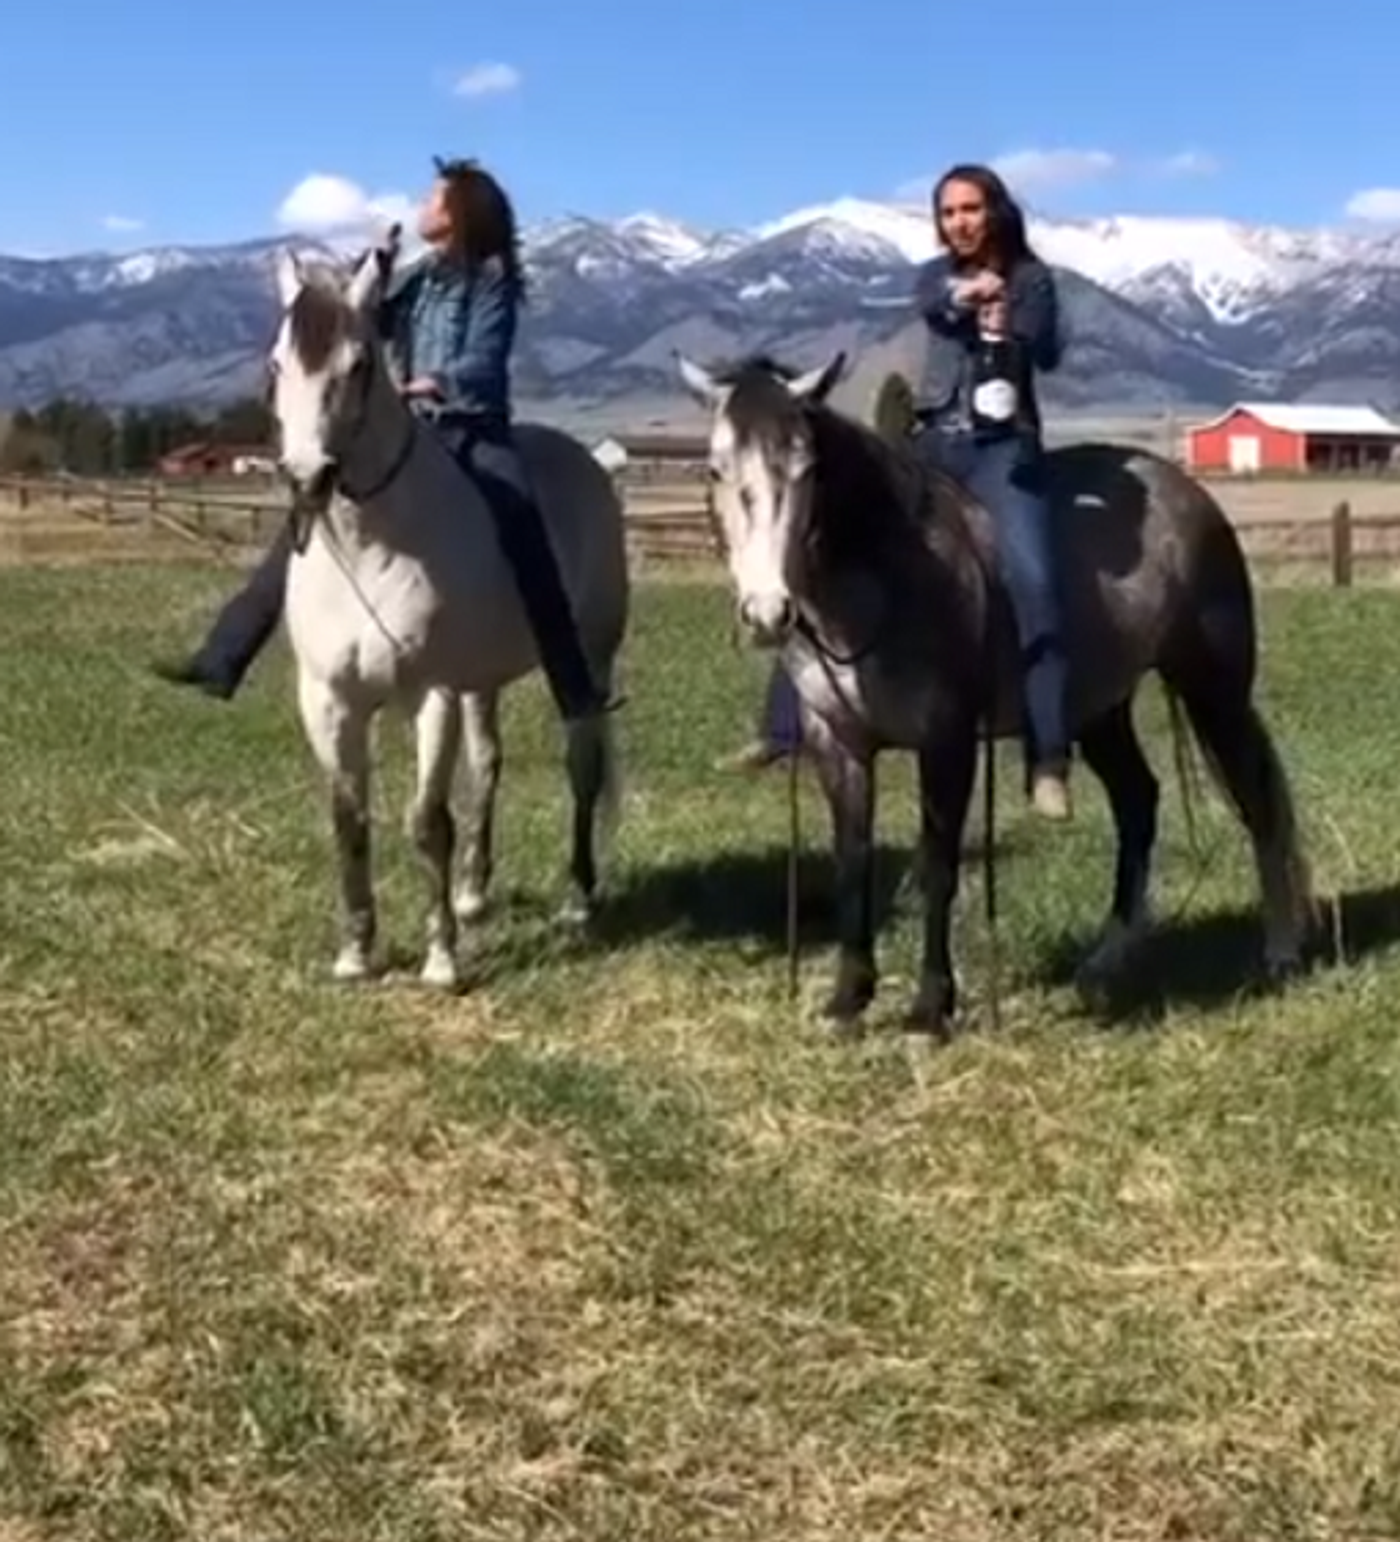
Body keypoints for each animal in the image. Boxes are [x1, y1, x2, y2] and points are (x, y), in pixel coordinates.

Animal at [269, 240, 629, 986]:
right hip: (480, 683)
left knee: (582, 766)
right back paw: (472, 893)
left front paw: (440, 961)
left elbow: (426, 821)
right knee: (488, 764)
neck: (373, 547)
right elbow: (350, 819)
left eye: (358, 364)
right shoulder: (328, 699)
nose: (307, 478)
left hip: (588, 659)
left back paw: (578, 900)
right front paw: (356, 952)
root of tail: (589, 463)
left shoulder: (428, 693)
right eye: (277, 365)